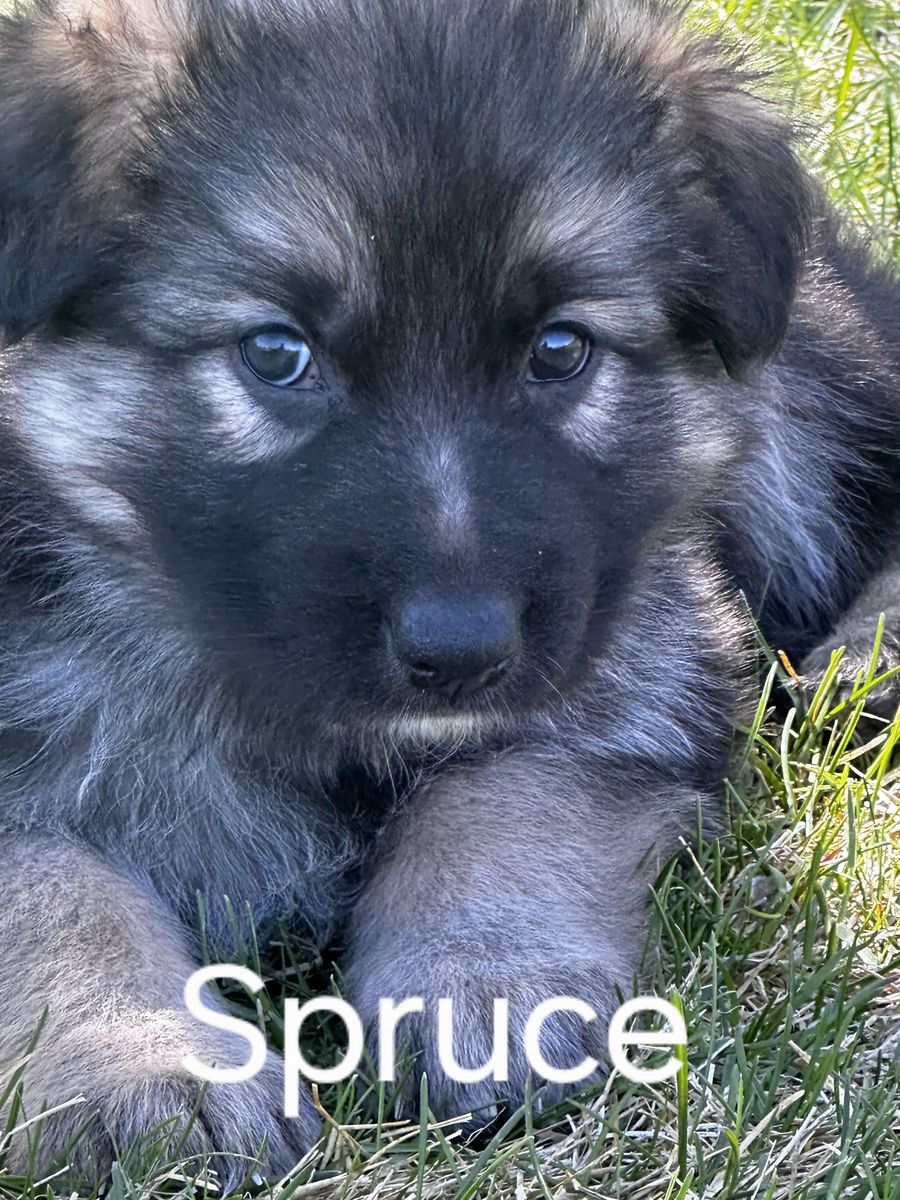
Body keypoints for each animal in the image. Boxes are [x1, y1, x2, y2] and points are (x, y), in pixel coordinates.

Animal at [0, 0, 898, 1185]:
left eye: (560, 349)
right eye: (275, 352)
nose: (462, 649)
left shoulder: (632, 636)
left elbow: (509, 788)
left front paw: (481, 982)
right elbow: (53, 885)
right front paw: (141, 1063)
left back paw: (870, 661)